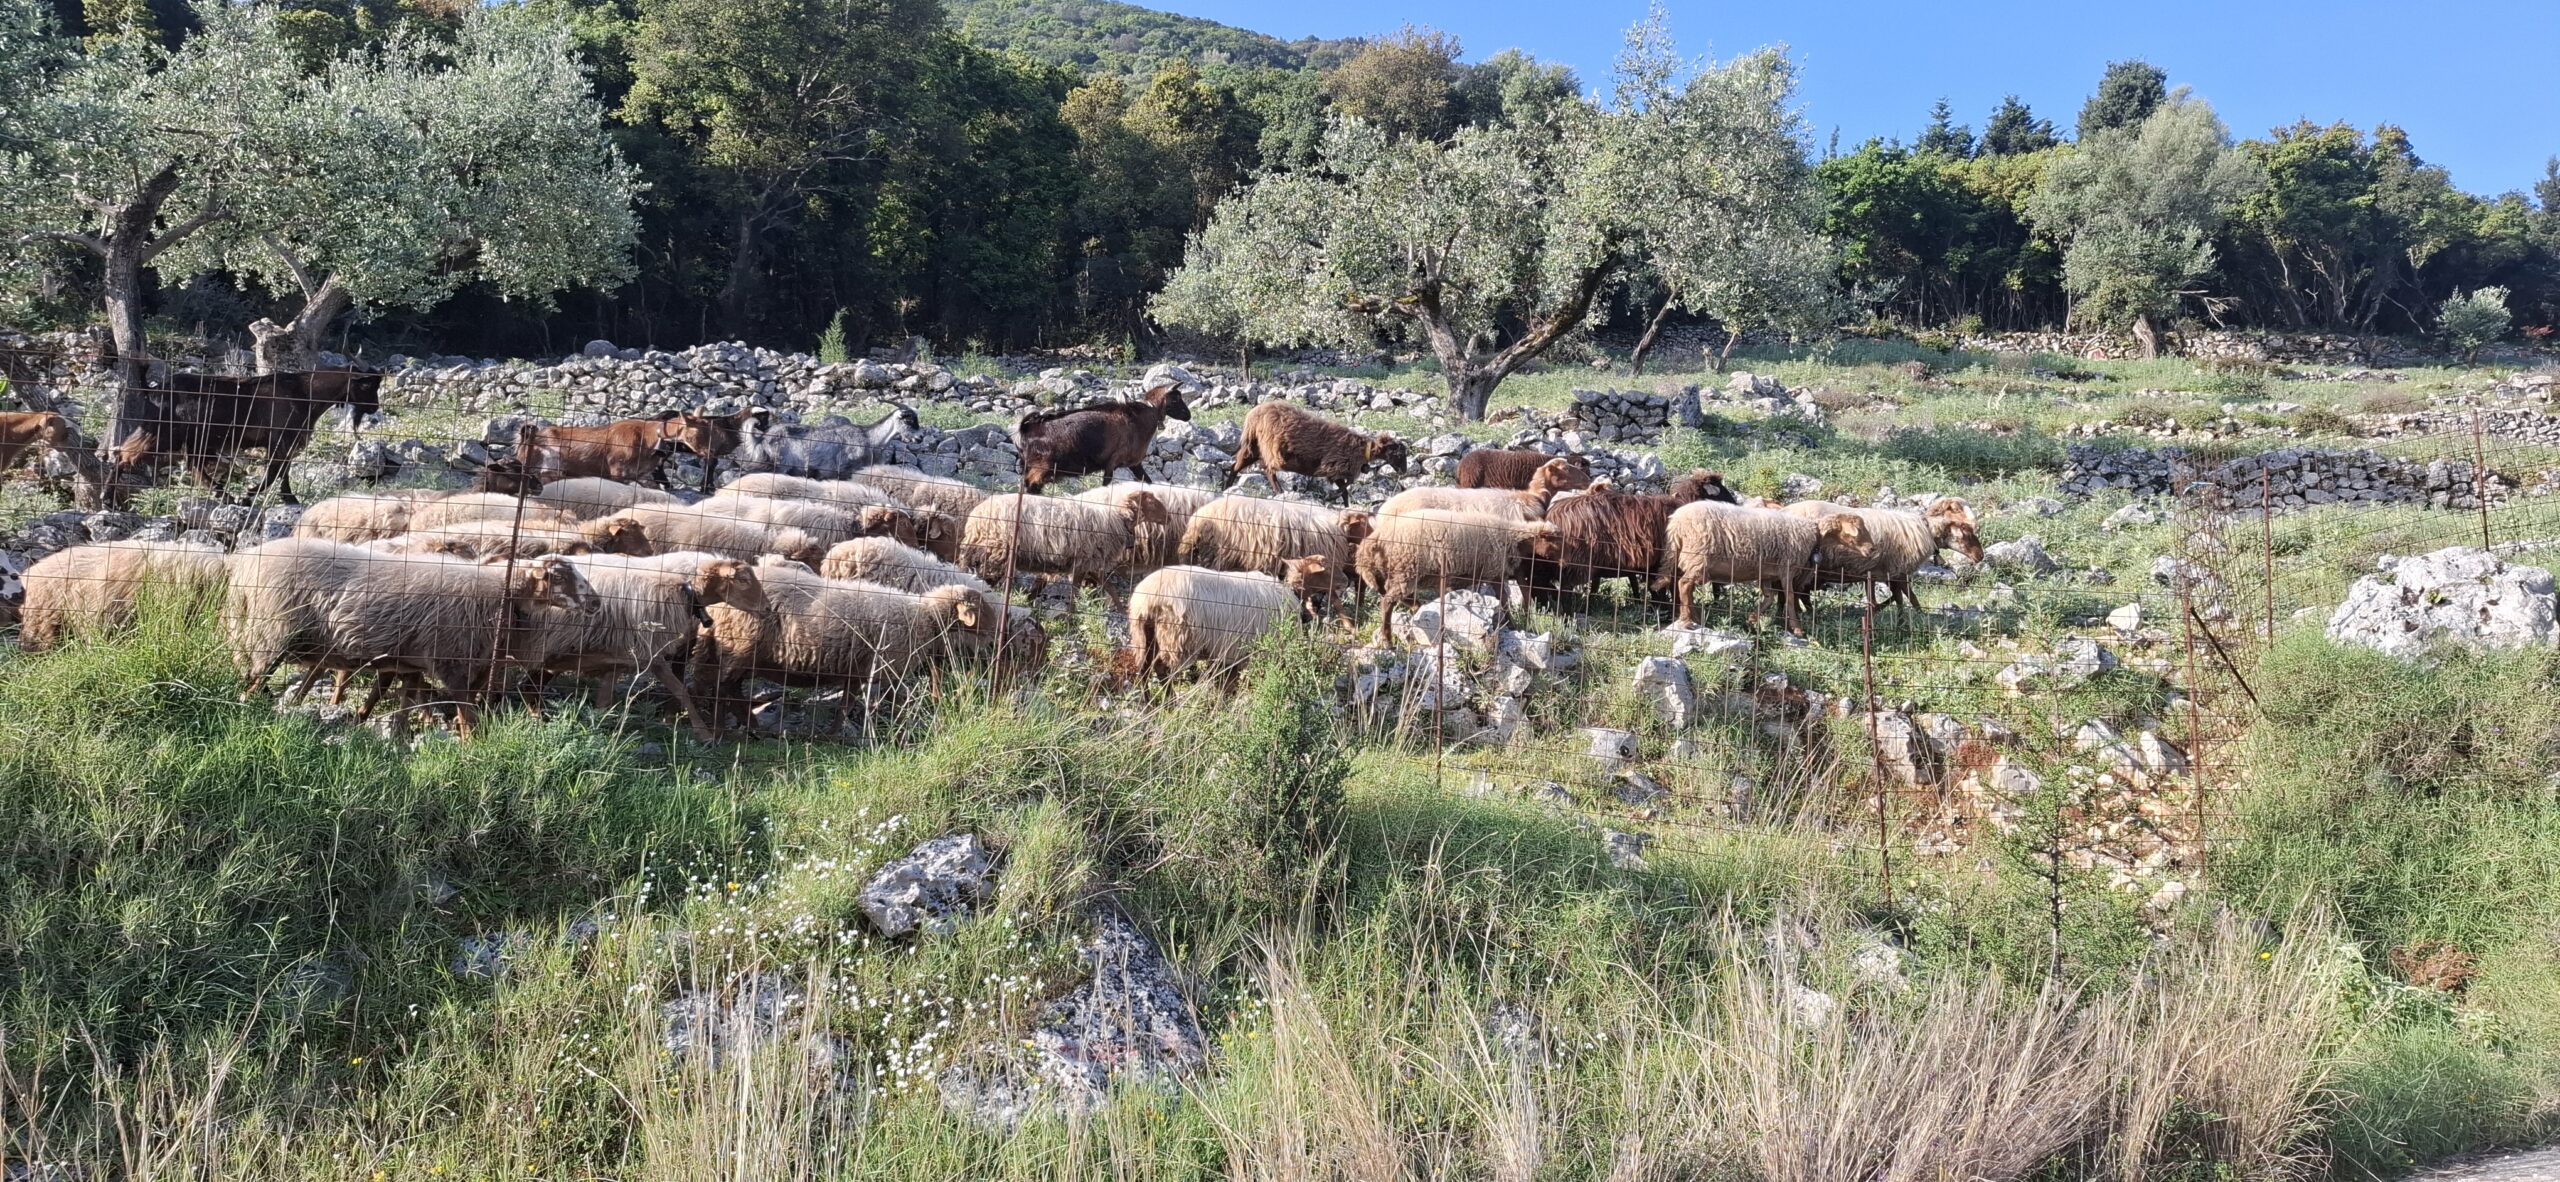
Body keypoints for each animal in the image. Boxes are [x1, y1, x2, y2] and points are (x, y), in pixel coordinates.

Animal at [960, 490, 1166, 600]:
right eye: (1151, 501)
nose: (1167, 517)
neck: (1116, 518)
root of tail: (975, 518)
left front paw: (1029, 599)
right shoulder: (1084, 561)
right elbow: (1076, 590)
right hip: (997, 551)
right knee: (986, 576)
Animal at [1225, 402, 1409, 502]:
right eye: (1399, 454)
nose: (1404, 471)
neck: (1364, 450)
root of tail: (1253, 414)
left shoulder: (1337, 471)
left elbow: (1346, 491)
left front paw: (1342, 504)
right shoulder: (1335, 467)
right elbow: (1346, 486)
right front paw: (1331, 497)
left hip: (1253, 446)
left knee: (1236, 466)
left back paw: (1226, 487)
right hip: (1271, 447)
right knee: (1269, 470)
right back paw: (1279, 491)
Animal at [1354, 509, 1562, 645]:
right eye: (1556, 542)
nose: (1564, 564)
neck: (1513, 538)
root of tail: (1375, 538)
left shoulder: (1463, 576)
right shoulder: (1493, 570)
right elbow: (1503, 600)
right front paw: (1510, 624)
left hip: (1395, 573)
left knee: (1391, 595)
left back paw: (1417, 607)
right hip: (1407, 569)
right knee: (1387, 602)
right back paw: (1387, 639)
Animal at [1659, 501, 1875, 634]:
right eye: (1858, 530)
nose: (1872, 549)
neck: (1812, 534)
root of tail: (1675, 523)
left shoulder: (1768, 573)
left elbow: (1769, 597)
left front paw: (1752, 618)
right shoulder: (1787, 567)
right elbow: (1789, 598)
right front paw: (1797, 629)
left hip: (1695, 560)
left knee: (1686, 586)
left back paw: (1695, 617)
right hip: (1698, 557)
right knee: (1684, 584)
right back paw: (1688, 619)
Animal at [1779, 498, 1984, 620]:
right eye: (1964, 528)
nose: (1980, 556)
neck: (1924, 530)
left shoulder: (1887, 573)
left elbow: (1900, 597)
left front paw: (1903, 617)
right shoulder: (1897, 572)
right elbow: (1908, 597)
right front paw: (1916, 617)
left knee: (1799, 593)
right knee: (1796, 592)